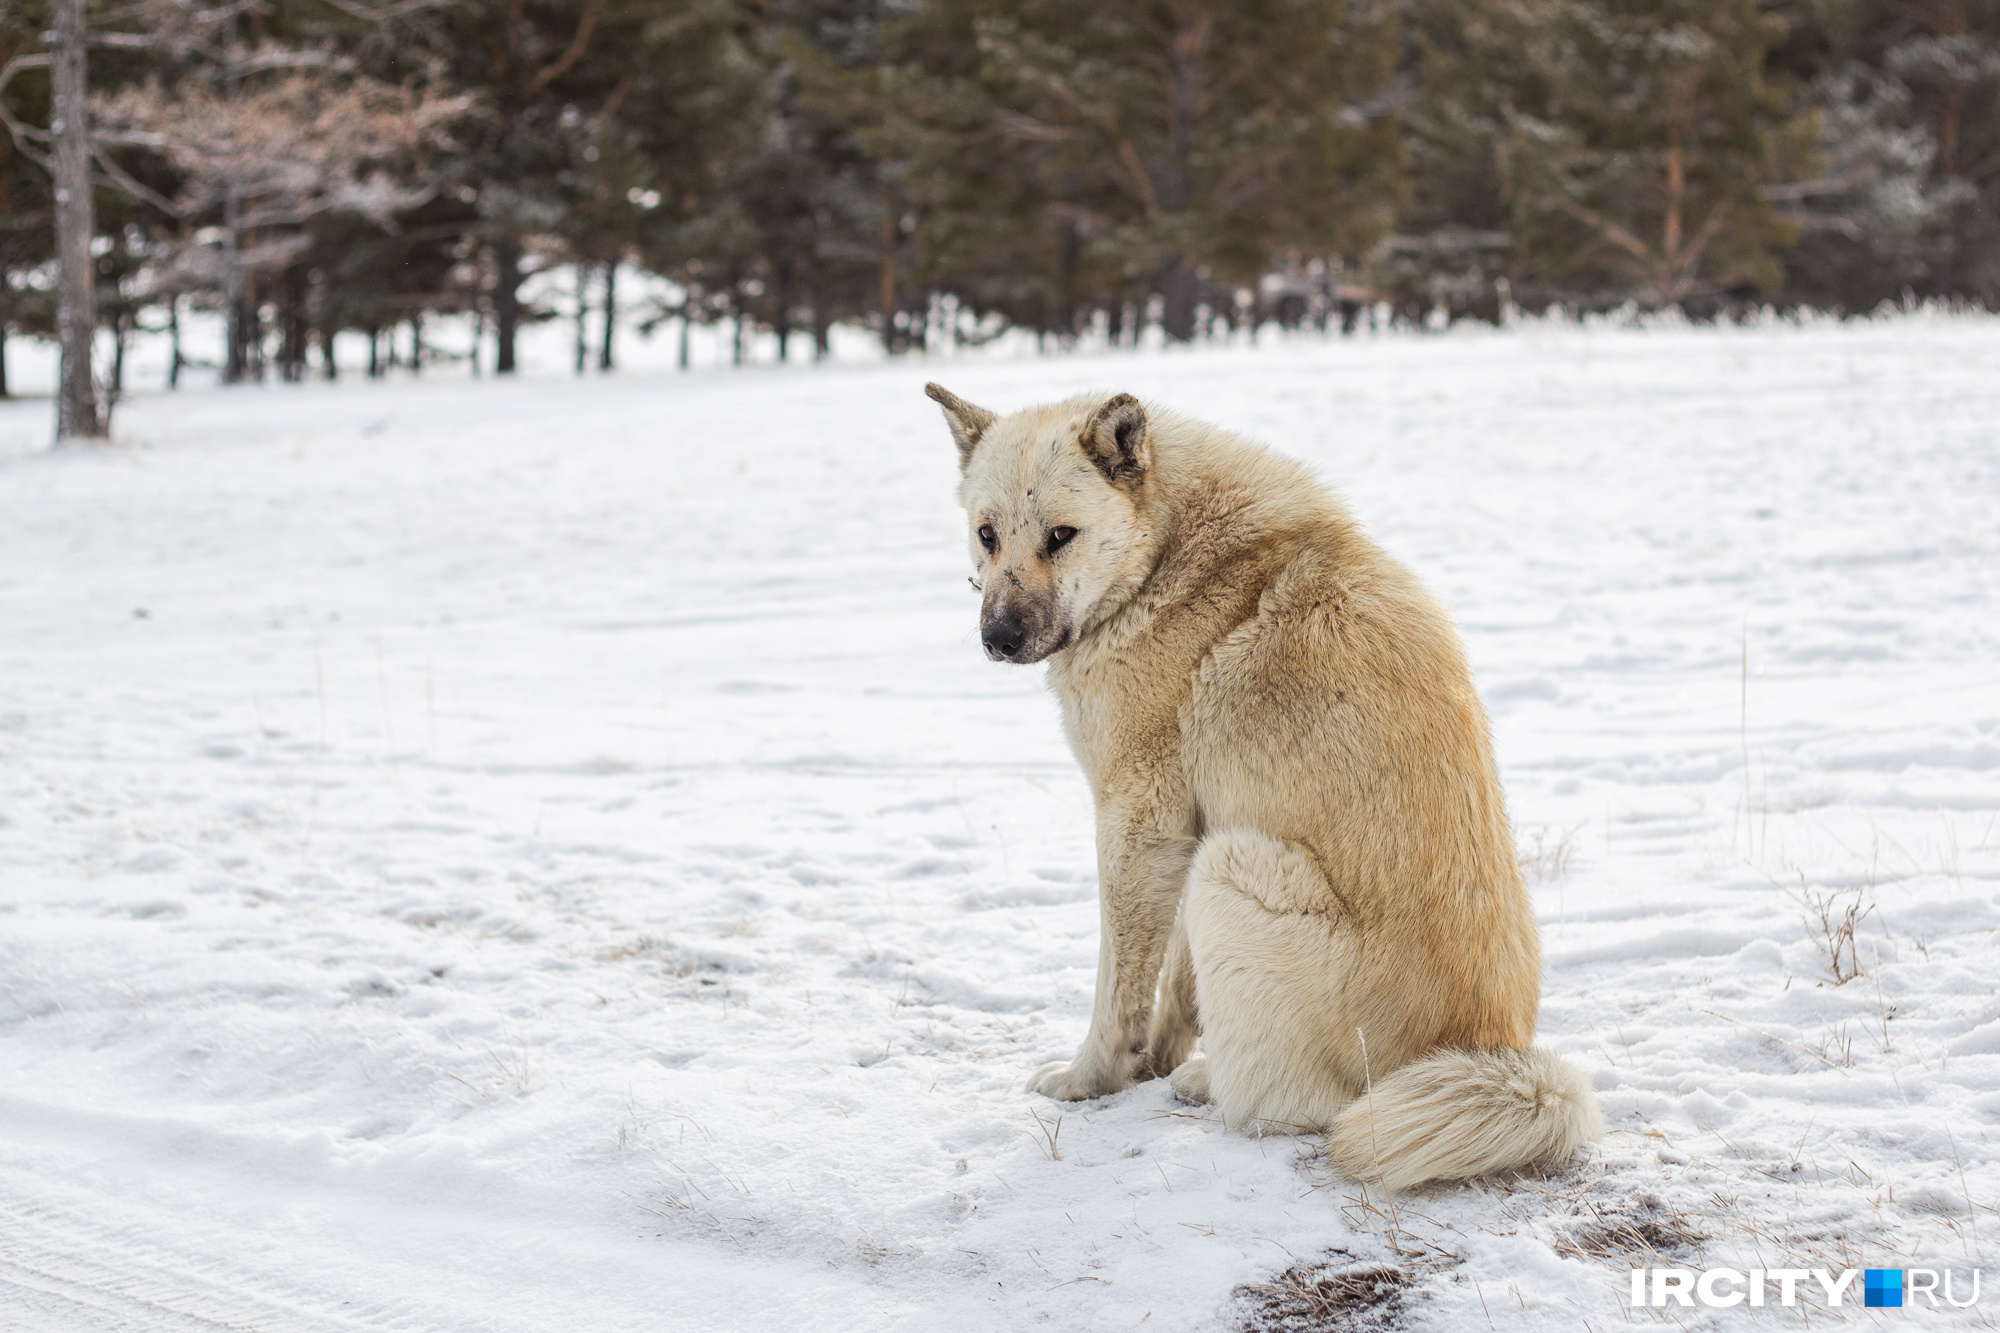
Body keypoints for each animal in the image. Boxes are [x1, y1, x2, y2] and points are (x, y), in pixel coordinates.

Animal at [928, 378, 1600, 1184]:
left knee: (1306, 1107)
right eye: (987, 534)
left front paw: (1093, 1080)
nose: (997, 638)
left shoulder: (1140, 824)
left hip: (1233, 868)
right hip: (1219, 859)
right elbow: (1174, 987)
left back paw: (1210, 1085)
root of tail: (1485, 1049)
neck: (1165, 559)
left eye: (1060, 535)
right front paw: (1154, 1060)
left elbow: (1117, 987)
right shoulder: (1188, 826)